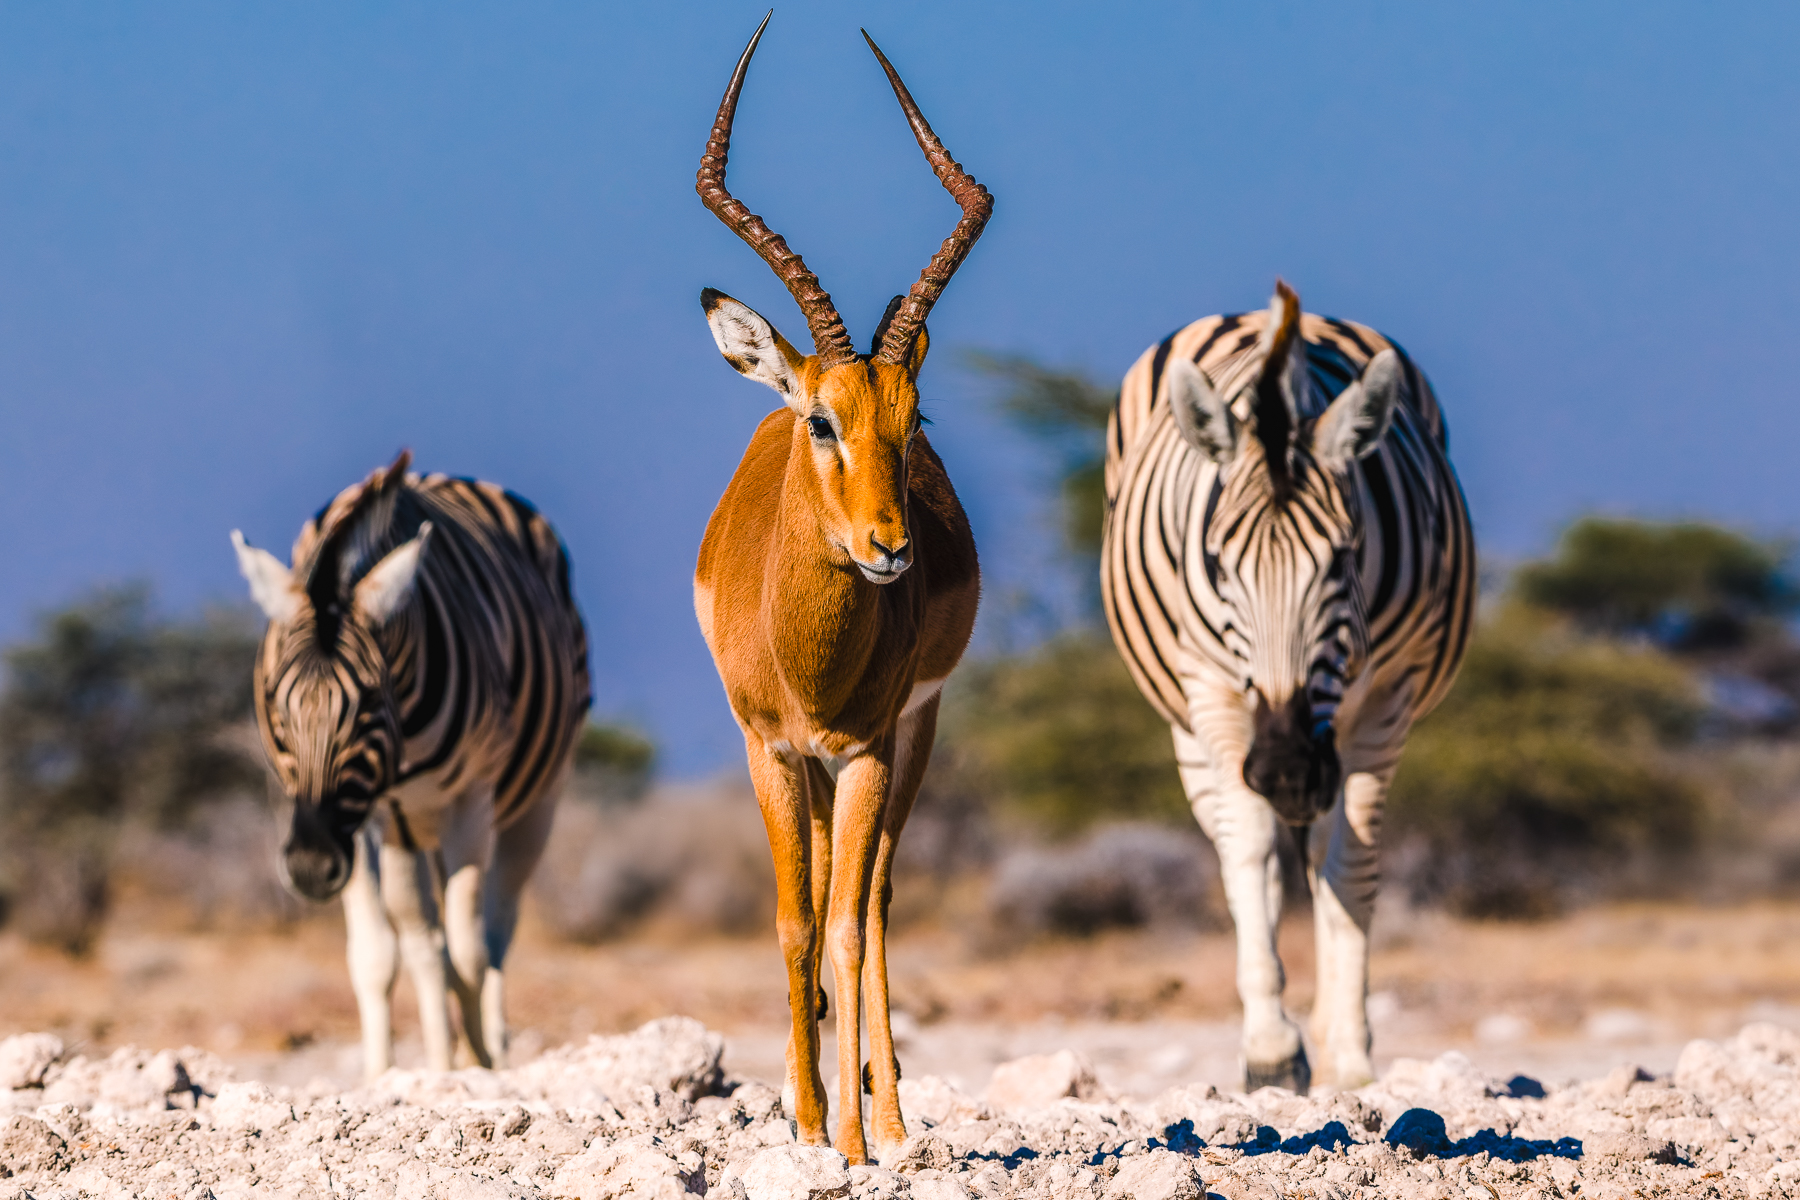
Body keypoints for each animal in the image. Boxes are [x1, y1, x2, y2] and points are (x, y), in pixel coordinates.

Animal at [231, 450, 590, 1079]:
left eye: (371, 701)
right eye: (275, 698)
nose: (308, 867)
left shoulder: (466, 797)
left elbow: (468, 951)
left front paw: (478, 1067)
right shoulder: (365, 817)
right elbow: (382, 953)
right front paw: (387, 1077)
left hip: (534, 801)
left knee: (494, 929)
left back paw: (486, 1050)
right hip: (413, 827)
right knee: (430, 937)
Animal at [692, 14, 987, 1164]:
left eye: (915, 419)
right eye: (823, 419)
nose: (889, 548)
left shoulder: (864, 747)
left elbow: (853, 925)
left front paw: (858, 1143)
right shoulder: (771, 750)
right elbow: (795, 922)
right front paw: (812, 1125)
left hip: (915, 734)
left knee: (878, 899)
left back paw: (892, 1115)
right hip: (819, 769)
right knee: (826, 901)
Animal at [1101, 281, 1474, 1092]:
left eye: (1344, 557)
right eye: (1216, 561)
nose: (1285, 770)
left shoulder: (1386, 699)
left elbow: (1352, 869)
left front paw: (1352, 1055)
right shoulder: (1213, 688)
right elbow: (1249, 853)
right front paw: (1272, 1052)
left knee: (1325, 853)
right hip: (1191, 728)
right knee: (1248, 856)